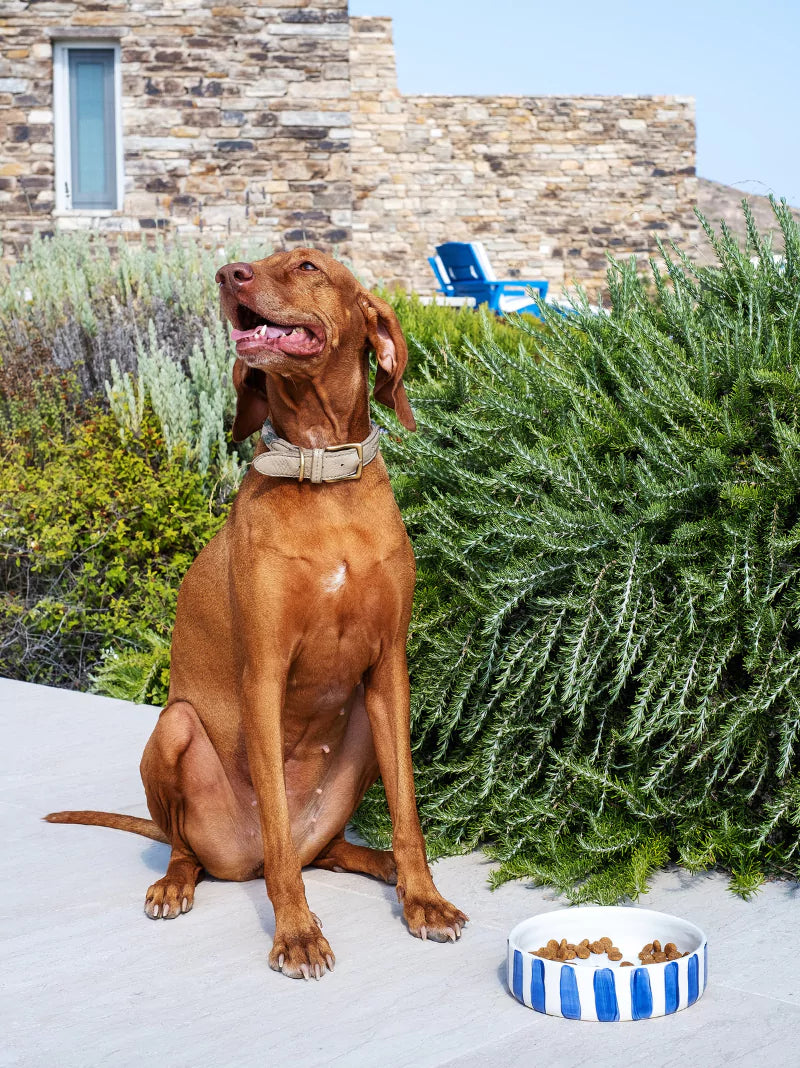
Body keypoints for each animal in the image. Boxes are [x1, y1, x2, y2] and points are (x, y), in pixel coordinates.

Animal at [45, 247, 467, 978]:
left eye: (307, 265)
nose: (227, 274)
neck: (324, 478)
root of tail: (233, 863)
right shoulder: (264, 676)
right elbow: (274, 824)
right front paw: (296, 933)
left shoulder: (389, 671)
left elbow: (409, 811)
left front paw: (423, 899)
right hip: (176, 729)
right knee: (204, 848)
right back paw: (176, 883)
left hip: (358, 733)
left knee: (325, 851)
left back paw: (381, 863)